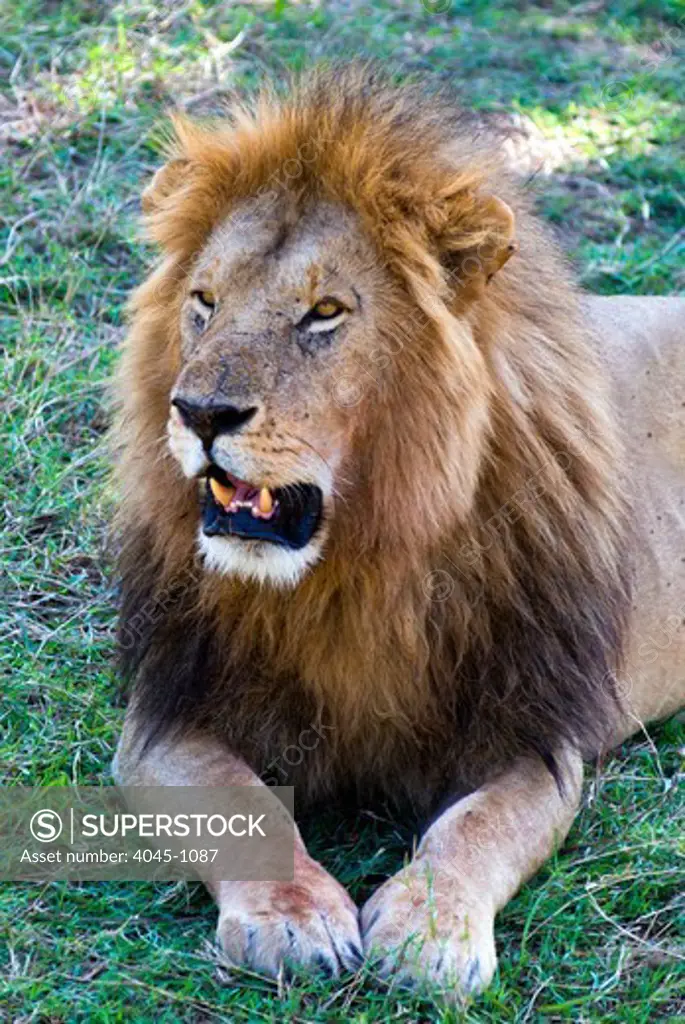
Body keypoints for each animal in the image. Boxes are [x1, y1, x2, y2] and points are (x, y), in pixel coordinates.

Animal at [113, 68, 683, 995]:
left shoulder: (534, 731)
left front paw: (428, 935)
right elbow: (245, 804)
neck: (356, 563)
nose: (198, 412)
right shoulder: (167, 713)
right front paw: (295, 919)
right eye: (204, 302)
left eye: (324, 312)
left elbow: (477, 827)